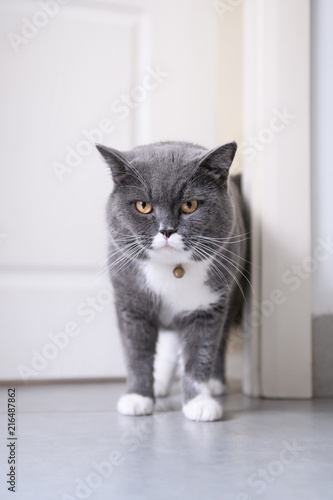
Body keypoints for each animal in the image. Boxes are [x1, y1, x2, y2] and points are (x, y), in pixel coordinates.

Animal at [95, 141, 246, 422]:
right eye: (143, 205)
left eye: (190, 205)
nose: (166, 230)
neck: (171, 270)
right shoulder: (131, 302)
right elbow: (136, 353)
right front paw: (138, 397)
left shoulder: (207, 306)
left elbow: (200, 353)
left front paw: (199, 403)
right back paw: (160, 384)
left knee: (219, 339)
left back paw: (215, 384)